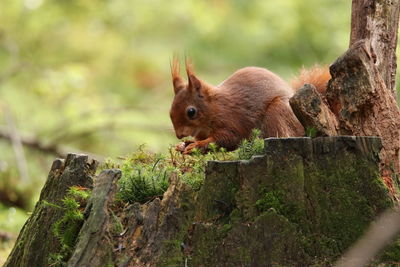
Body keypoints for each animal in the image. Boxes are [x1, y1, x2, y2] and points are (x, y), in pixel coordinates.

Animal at [170, 58, 330, 155]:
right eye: (170, 111)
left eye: (191, 111)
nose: (179, 135)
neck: (214, 107)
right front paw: (184, 144)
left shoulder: (231, 120)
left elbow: (228, 139)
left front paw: (195, 146)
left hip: (278, 111)